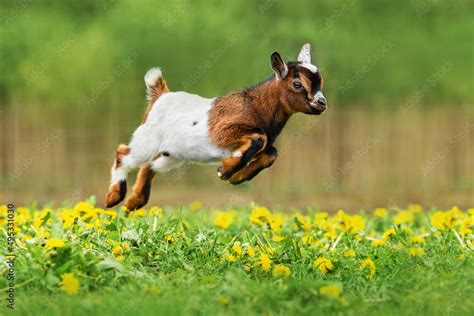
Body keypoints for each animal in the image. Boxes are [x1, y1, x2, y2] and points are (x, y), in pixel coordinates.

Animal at [104, 42, 326, 210]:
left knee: (148, 166)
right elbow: (260, 138)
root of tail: (160, 95)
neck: (256, 106)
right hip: (147, 140)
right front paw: (226, 170)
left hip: (173, 155)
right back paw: (113, 198)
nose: (322, 103)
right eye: (297, 84)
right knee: (123, 153)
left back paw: (133, 203)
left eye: (320, 83)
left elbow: (272, 152)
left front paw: (237, 177)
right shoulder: (222, 132)